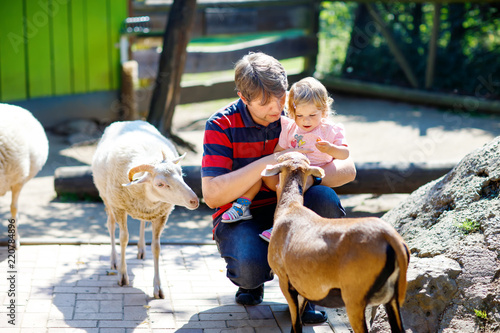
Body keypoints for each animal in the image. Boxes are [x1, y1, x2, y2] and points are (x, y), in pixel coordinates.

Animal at [92, 119, 199, 298]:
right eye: (160, 184)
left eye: (181, 173)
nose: (194, 200)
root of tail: (127, 121)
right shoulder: (119, 207)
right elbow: (123, 239)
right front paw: (122, 276)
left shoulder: (161, 213)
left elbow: (156, 247)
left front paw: (158, 287)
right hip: (107, 200)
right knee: (111, 226)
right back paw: (114, 260)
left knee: (142, 222)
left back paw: (141, 249)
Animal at [262, 152, 410, 332]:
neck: (291, 208)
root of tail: (390, 238)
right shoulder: (303, 284)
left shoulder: (284, 279)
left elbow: (296, 322)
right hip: (391, 298)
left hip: (355, 297)